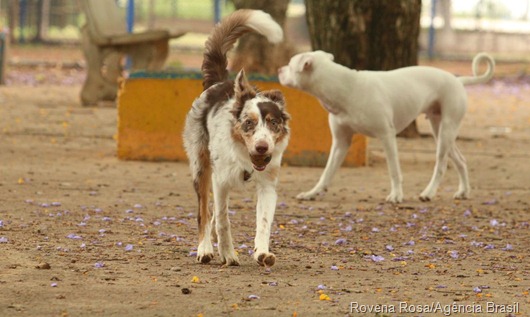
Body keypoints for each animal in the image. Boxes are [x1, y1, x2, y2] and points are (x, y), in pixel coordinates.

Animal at [182, 9, 288, 266]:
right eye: (249, 123)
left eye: (273, 123)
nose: (262, 147)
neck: (246, 160)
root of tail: (220, 82)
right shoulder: (220, 181)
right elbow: (221, 219)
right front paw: (228, 254)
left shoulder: (267, 186)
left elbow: (264, 223)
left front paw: (262, 253)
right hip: (201, 167)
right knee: (204, 213)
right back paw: (205, 248)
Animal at [278, 50, 492, 201]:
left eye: (289, 64)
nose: (279, 70)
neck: (346, 88)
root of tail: (458, 80)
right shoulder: (340, 142)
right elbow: (327, 172)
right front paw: (312, 193)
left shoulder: (387, 136)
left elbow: (394, 170)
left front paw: (396, 195)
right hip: (439, 130)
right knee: (461, 161)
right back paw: (463, 191)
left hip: (446, 131)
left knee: (441, 165)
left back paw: (429, 193)